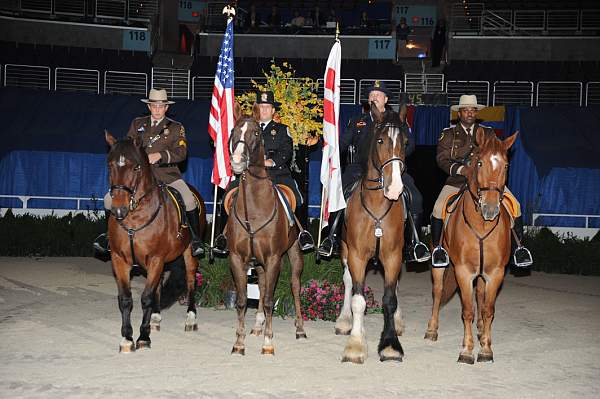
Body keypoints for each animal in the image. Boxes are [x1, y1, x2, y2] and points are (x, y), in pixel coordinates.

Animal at [104, 132, 205, 354]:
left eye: (136, 167)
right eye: (110, 166)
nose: (118, 210)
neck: (134, 216)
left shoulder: (155, 259)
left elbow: (146, 298)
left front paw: (143, 337)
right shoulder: (119, 260)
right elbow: (125, 299)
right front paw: (127, 338)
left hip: (188, 255)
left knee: (191, 281)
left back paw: (191, 319)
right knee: (158, 285)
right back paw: (156, 318)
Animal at [227, 109, 308, 356]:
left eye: (255, 133)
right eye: (234, 130)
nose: (237, 161)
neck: (254, 208)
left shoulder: (273, 259)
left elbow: (271, 300)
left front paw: (268, 343)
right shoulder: (237, 258)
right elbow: (243, 300)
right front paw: (239, 342)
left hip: (294, 254)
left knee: (294, 286)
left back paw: (300, 329)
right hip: (259, 263)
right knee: (261, 287)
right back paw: (257, 325)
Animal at [336, 104, 406, 364]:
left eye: (405, 141)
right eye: (380, 140)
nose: (395, 188)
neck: (376, 206)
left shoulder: (393, 256)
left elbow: (390, 298)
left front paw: (390, 345)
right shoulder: (357, 255)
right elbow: (358, 300)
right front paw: (355, 345)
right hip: (345, 251)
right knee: (348, 282)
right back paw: (345, 321)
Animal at [424, 130, 516, 364]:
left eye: (506, 165)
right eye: (479, 162)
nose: (490, 209)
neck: (482, 223)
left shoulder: (495, 272)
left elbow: (488, 309)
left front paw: (486, 349)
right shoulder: (463, 271)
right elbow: (467, 310)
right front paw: (466, 350)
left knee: (481, 296)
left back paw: (482, 331)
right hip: (439, 266)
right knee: (438, 292)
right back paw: (432, 330)